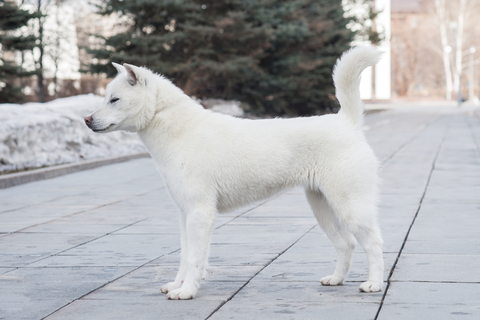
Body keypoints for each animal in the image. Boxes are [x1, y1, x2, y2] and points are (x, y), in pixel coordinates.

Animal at [86, 47, 384, 300]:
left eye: (115, 99)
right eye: (106, 97)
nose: (87, 120)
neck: (176, 128)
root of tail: (347, 122)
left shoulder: (200, 213)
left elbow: (195, 258)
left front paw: (187, 291)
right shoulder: (185, 213)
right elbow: (185, 255)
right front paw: (177, 285)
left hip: (350, 206)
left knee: (374, 243)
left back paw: (374, 284)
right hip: (322, 207)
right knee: (346, 244)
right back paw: (336, 279)